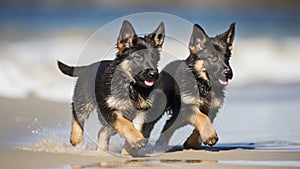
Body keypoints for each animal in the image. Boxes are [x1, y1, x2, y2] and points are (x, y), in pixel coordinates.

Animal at [56, 20, 164, 155]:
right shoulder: (108, 109)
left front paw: (129, 150)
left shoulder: (142, 111)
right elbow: (124, 123)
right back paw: (76, 138)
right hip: (84, 100)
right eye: (138, 57)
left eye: (154, 58)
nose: (154, 74)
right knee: (77, 114)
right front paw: (137, 139)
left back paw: (101, 151)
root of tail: (88, 66)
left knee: (102, 131)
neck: (130, 85)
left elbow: (136, 126)